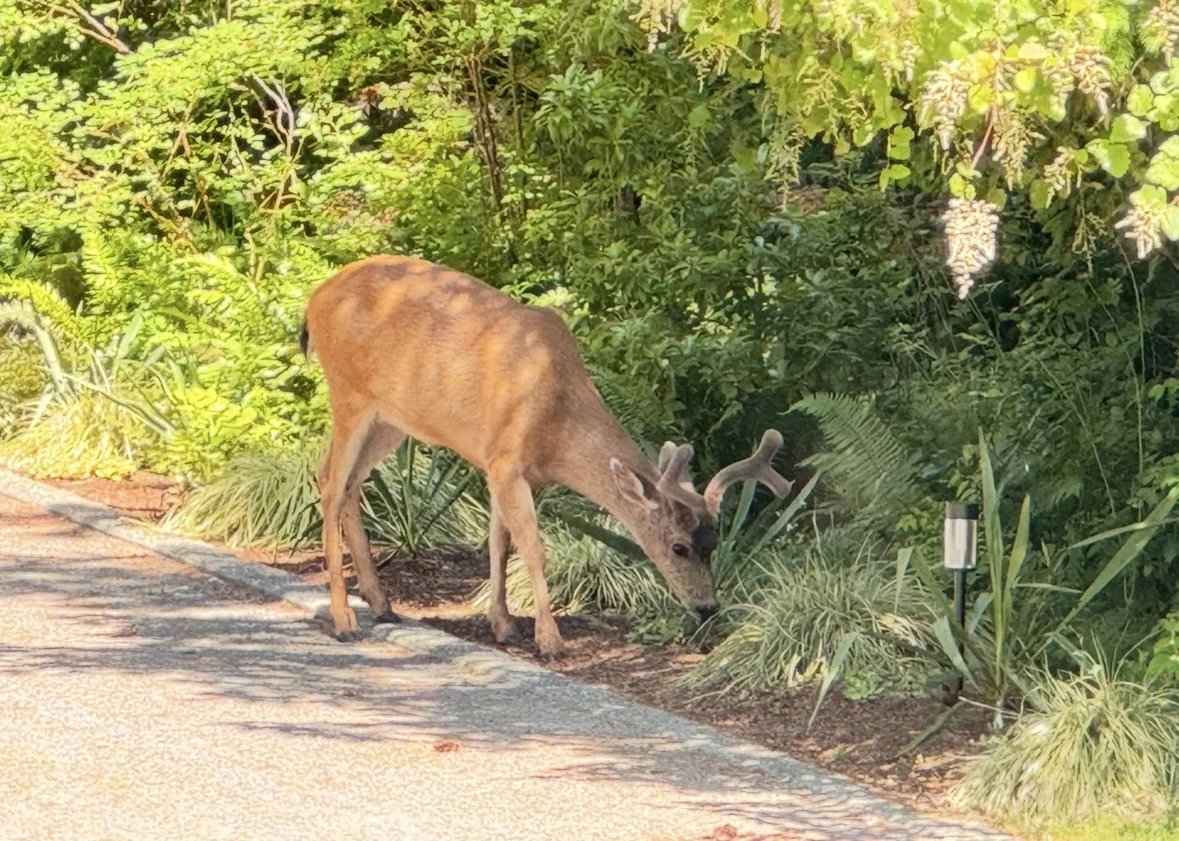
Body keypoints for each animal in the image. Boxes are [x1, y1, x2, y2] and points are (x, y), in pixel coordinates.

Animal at [300, 255, 791, 657]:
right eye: (679, 547)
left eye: (715, 541)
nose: (708, 607)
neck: (554, 420)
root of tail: (315, 299)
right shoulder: (505, 461)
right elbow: (535, 549)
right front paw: (549, 640)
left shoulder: (505, 467)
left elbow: (500, 543)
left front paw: (503, 626)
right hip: (349, 395)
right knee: (328, 482)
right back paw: (344, 620)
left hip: (392, 421)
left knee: (352, 485)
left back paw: (381, 604)